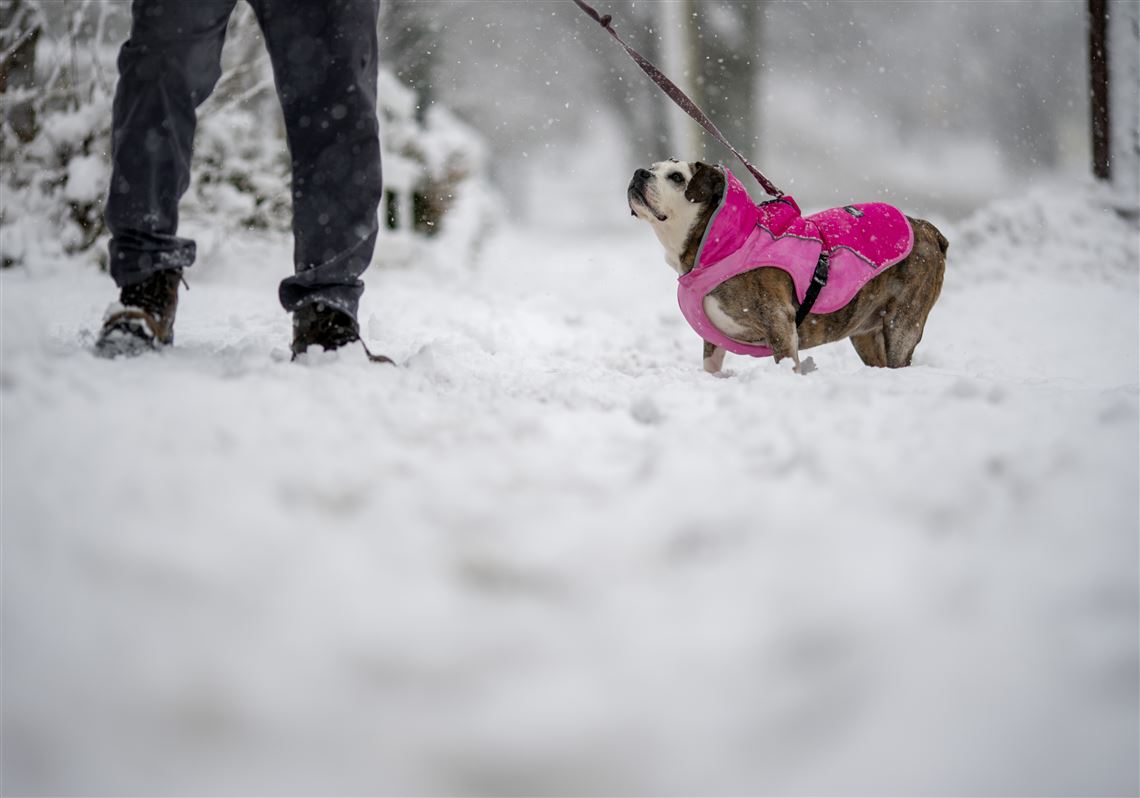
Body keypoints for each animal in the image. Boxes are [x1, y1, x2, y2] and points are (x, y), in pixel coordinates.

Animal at [629, 161, 948, 376]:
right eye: (653, 167)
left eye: (676, 177)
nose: (639, 172)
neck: (724, 242)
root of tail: (926, 228)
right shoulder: (712, 340)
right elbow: (711, 364)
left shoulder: (779, 322)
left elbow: (785, 356)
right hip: (865, 331)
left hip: (903, 323)